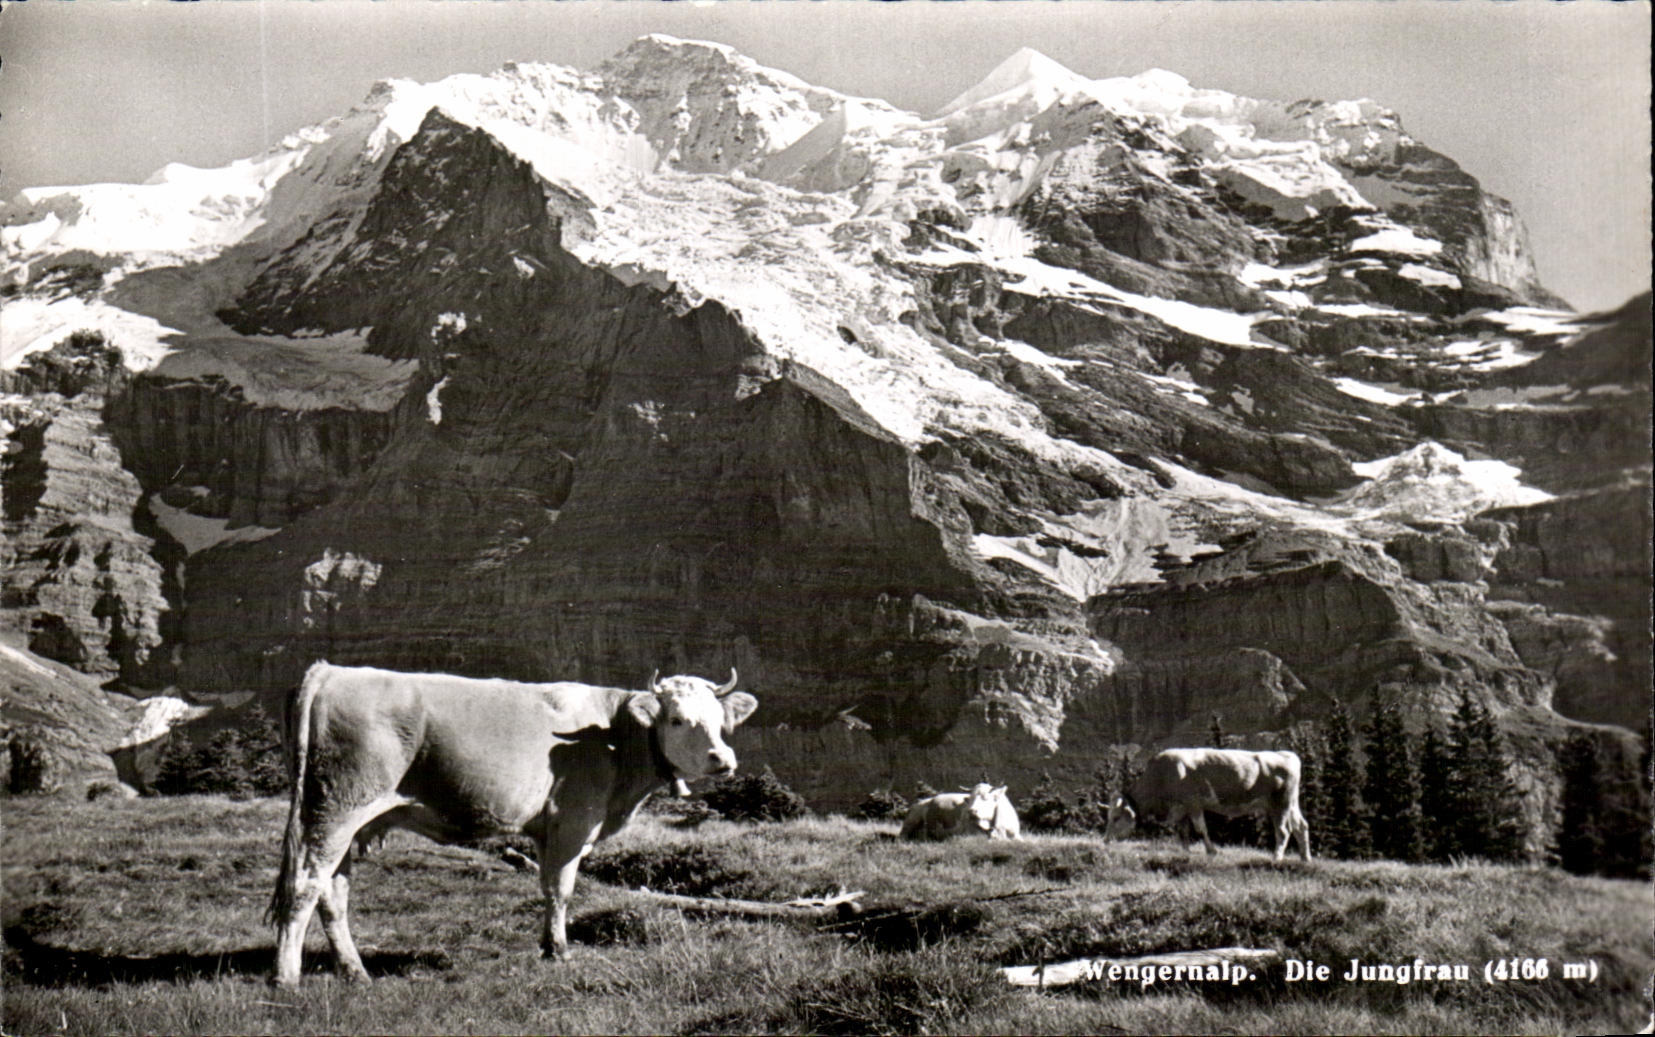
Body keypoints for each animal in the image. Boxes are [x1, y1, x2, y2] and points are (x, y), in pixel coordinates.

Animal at [268, 661, 757, 987]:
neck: (616, 736)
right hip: (338, 807)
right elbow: (562, 890)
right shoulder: (573, 822)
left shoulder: (545, 829)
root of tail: (330, 670)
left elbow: (546, 887)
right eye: (676, 720)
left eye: (720, 721)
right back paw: (286, 978)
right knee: (306, 885)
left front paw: (547, 945)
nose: (723, 759)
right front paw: (560, 951)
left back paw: (354, 971)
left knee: (333, 892)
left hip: (341, 818)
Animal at [1105, 748, 1310, 862]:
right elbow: (1183, 832)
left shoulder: (1193, 803)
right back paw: (1305, 858)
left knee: (1283, 830)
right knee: (1301, 826)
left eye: (1115, 818)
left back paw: (1277, 858)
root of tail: (1286, 755)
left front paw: (1211, 850)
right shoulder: (1181, 809)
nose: (1106, 841)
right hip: (1290, 803)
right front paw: (1186, 853)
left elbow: (1201, 828)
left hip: (1281, 802)